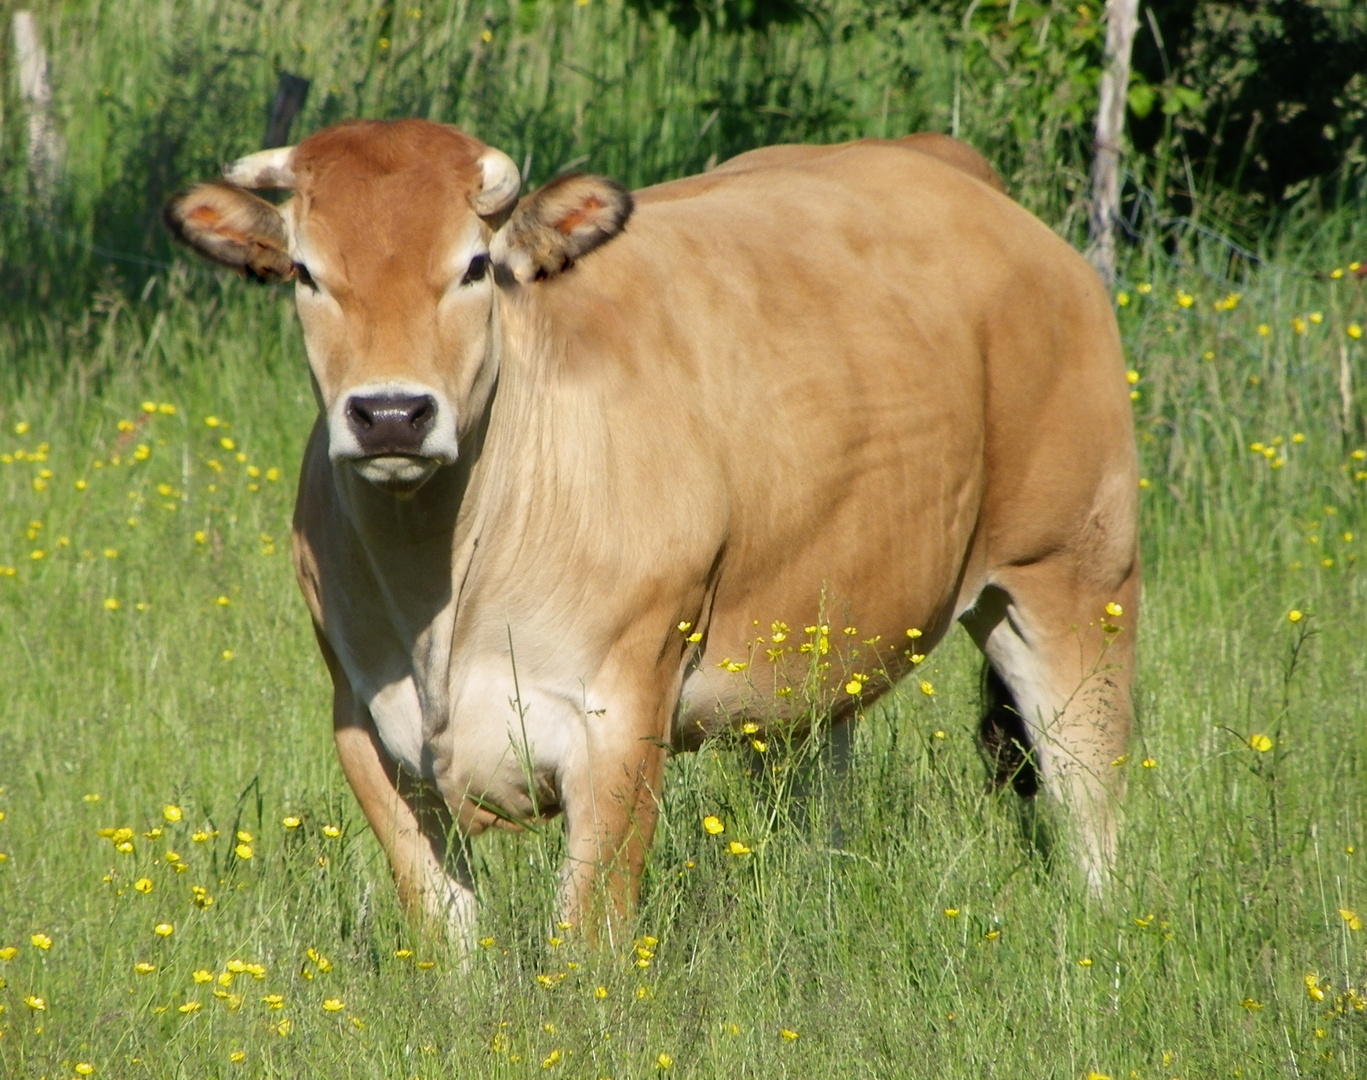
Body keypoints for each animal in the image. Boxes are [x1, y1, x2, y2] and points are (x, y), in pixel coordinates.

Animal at [165, 118, 1137, 940]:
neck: (440, 591)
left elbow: (587, 940)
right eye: (305, 273)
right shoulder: (367, 730)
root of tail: (940, 161)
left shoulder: (619, 721)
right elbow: (446, 938)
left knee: (1085, 790)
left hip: (1073, 576)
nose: (392, 414)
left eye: (474, 267)